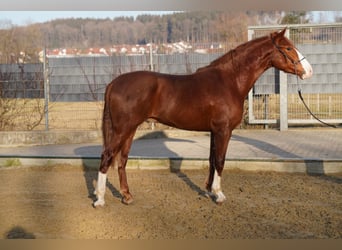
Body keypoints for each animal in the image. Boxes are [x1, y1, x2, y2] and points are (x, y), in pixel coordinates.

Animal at [93, 27, 312, 207]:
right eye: (288, 48)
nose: (309, 71)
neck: (230, 81)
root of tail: (114, 83)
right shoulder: (224, 130)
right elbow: (221, 160)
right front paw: (219, 194)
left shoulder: (214, 131)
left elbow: (212, 159)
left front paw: (208, 190)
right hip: (122, 129)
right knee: (107, 157)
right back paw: (100, 198)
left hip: (129, 130)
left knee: (121, 160)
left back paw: (127, 196)